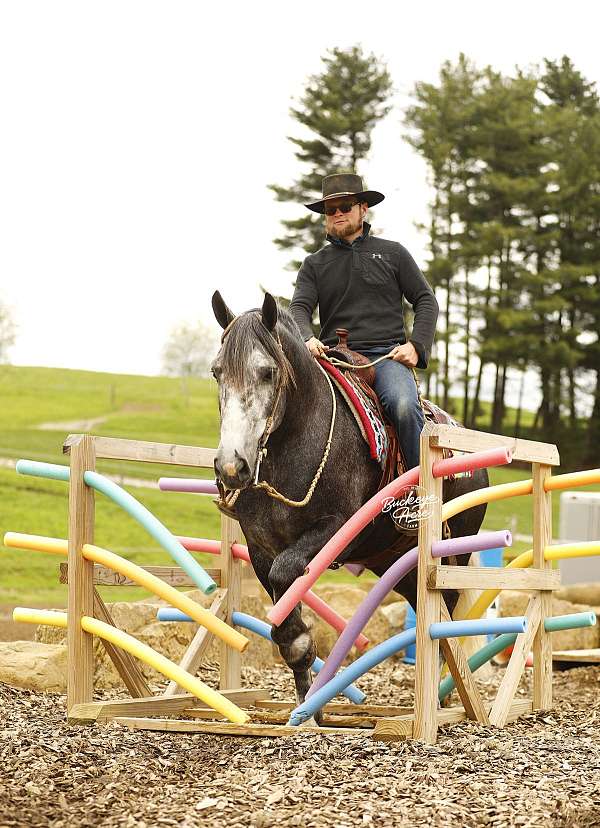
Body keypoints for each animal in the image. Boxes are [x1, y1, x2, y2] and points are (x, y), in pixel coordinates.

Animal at [210, 290, 488, 722]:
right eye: (216, 372)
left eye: (267, 372)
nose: (231, 466)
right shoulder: (260, 547)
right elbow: (284, 618)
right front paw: (308, 710)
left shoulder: (333, 530)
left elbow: (285, 576)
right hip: (392, 561)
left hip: (450, 555)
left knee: (446, 615)